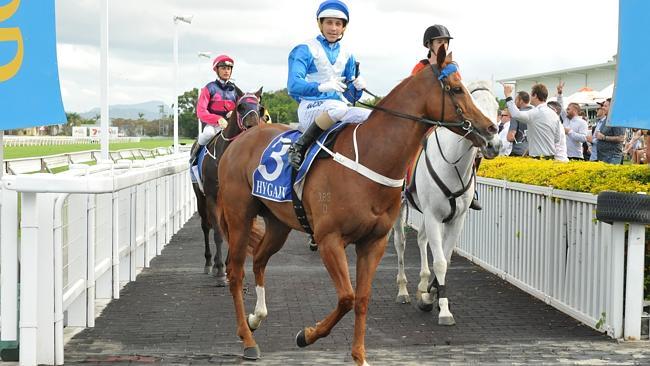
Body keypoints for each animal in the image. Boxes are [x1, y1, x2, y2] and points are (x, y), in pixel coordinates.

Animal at [191, 88, 262, 286]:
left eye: (259, 107)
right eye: (241, 106)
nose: (253, 127)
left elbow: (234, 234)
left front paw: (232, 268)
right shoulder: (212, 198)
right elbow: (217, 233)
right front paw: (220, 269)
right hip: (200, 198)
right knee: (206, 226)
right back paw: (209, 263)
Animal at [215, 49, 494, 366]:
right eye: (458, 89)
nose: (491, 129)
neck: (372, 158)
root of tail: (240, 140)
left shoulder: (373, 242)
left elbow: (361, 298)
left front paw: (359, 356)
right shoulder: (329, 240)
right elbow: (346, 297)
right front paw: (306, 335)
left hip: (278, 223)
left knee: (260, 259)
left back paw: (256, 318)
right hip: (239, 217)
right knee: (235, 272)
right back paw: (248, 340)